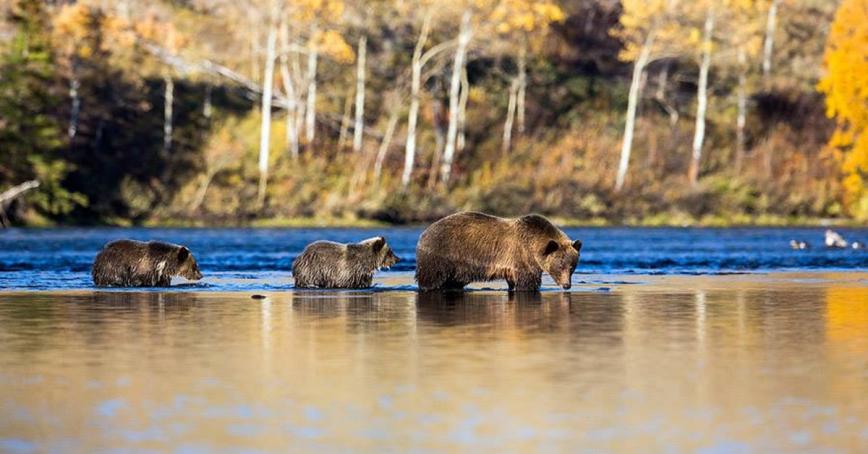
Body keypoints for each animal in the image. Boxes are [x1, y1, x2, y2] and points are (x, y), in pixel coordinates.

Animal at [416, 212, 584, 292]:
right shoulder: (522, 258)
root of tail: (423, 233)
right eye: (560, 265)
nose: (567, 285)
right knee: (431, 279)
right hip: (442, 256)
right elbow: (527, 283)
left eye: (572, 266)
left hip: (457, 268)